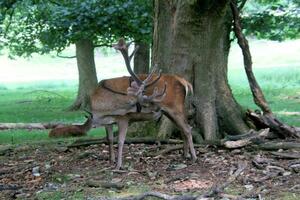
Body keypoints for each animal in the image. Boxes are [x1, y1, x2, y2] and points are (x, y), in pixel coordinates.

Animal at [89, 38, 197, 169]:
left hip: (175, 107)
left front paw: (118, 165)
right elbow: (109, 139)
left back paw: (194, 157)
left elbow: (120, 141)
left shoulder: (123, 118)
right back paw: (185, 154)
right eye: (145, 103)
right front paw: (111, 160)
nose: (156, 109)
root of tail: (185, 81)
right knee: (182, 129)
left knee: (187, 128)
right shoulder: (108, 122)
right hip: (169, 112)